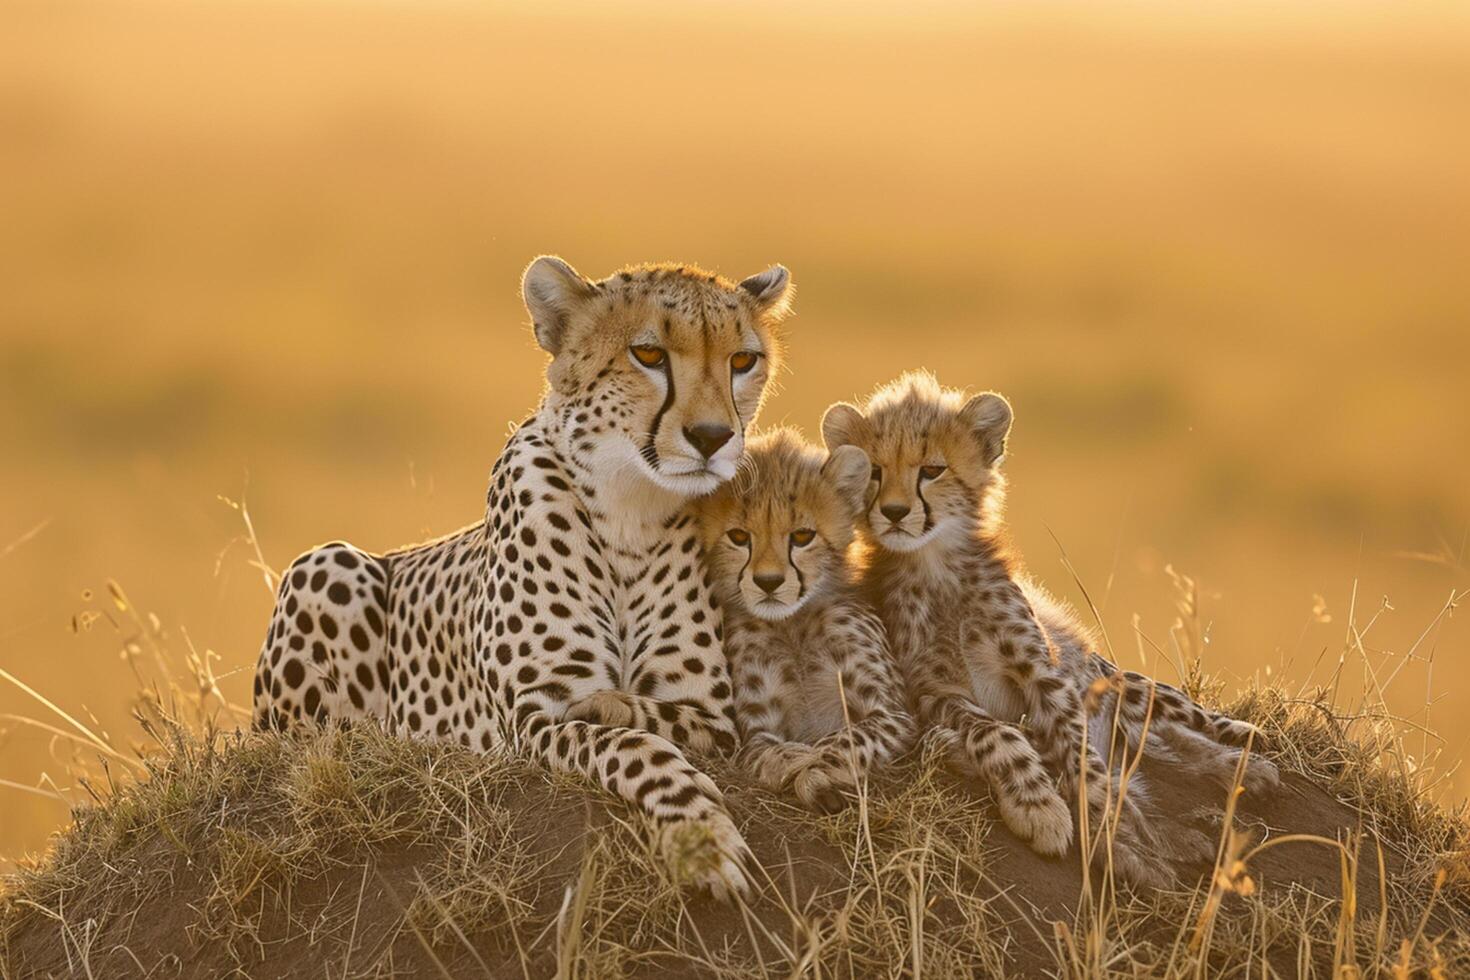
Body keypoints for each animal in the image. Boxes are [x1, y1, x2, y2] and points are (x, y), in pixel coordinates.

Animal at [257, 257, 799, 899]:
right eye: (649, 354)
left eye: (742, 361)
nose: (713, 437)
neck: (629, 511)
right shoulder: (531, 715)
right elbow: (637, 749)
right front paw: (703, 837)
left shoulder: (708, 715)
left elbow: (648, 719)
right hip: (327, 566)